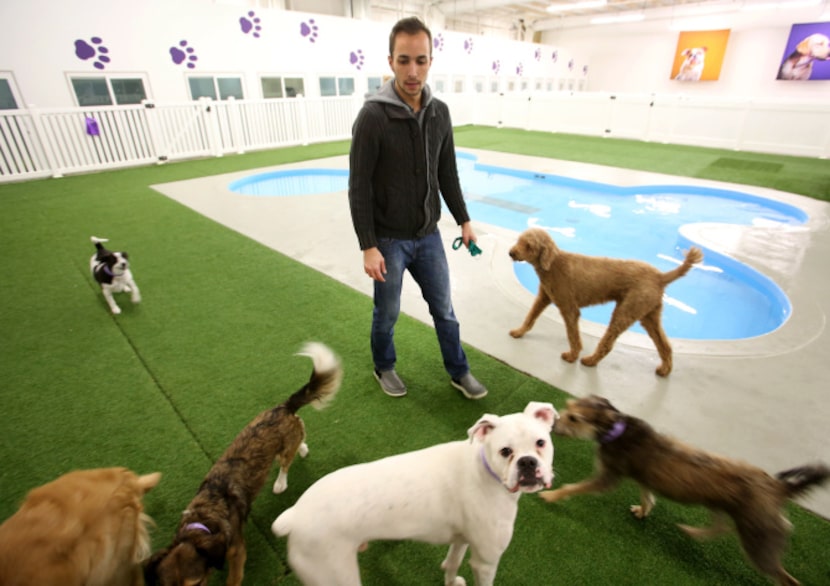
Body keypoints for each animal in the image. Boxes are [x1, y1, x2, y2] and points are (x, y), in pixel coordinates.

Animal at [146, 342, 344, 584]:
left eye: (197, 582)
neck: (203, 520)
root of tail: (283, 407)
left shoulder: (237, 552)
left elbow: (233, 579)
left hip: (283, 451)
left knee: (285, 463)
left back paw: (280, 484)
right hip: (285, 440)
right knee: (299, 437)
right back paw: (303, 449)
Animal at [508, 226, 704, 376]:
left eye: (529, 245)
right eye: (519, 240)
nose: (511, 253)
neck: (553, 264)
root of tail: (660, 277)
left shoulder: (569, 309)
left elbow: (573, 335)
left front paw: (572, 355)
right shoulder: (543, 298)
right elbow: (530, 317)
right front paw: (519, 332)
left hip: (624, 313)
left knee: (608, 343)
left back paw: (590, 360)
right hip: (648, 316)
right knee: (665, 345)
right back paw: (665, 370)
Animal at [544, 392, 828, 584]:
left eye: (574, 418)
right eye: (568, 407)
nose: (553, 425)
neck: (617, 430)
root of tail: (778, 489)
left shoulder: (607, 478)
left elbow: (574, 488)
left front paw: (551, 495)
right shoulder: (643, 478)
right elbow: (647, 496)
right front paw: (643, 511)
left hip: (759, 545)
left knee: (787, 579)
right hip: (722, 509)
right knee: (720, 526)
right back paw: (693, 532)